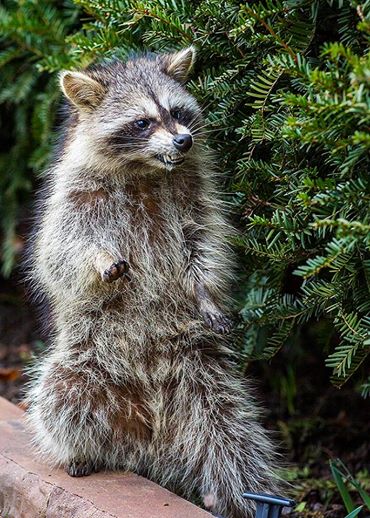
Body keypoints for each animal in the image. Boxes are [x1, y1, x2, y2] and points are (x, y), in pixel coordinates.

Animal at [26, 46, 280, 516]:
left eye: (177, 112)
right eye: (142, 122)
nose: (184, 141)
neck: (145, 168)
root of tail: (145, 440)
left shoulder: (196, 198)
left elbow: (204, 245)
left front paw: (207, 294)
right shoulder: (73, 196)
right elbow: (62, 252)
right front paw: (100, 259)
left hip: (199, 368)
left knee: (229, 431)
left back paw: (235, 494)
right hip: (86, 360)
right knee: (61, 396)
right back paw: (80, 450)